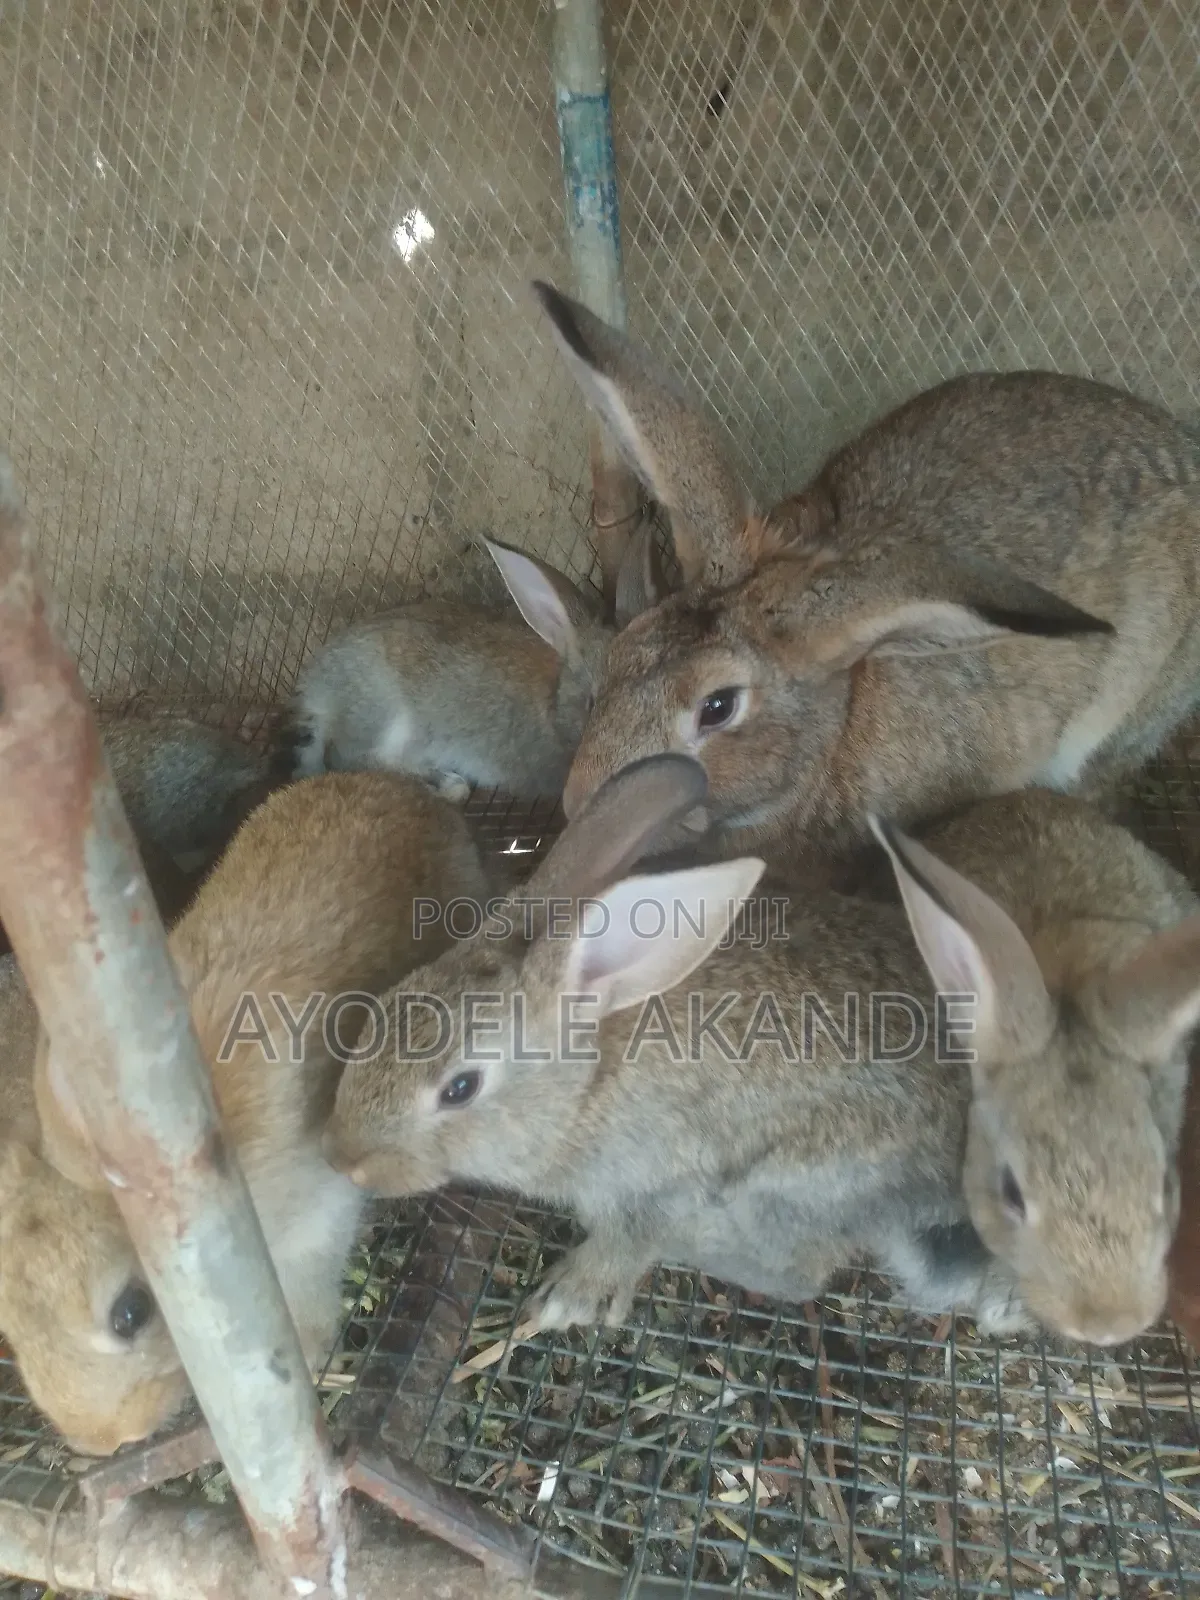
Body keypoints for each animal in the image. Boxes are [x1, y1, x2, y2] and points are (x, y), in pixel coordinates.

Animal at [1, 770, 488, 1456]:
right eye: (7, 1328)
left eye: (131, 1311)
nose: (102, 1440)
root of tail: (406, 790)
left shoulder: (318, 1213)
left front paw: (309, 1353)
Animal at [276, 531, 655, 802]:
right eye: (593, 703)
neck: (554, 700)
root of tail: (315, 693)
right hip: (386, 712)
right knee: (347, 757)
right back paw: (445, 784)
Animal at [323, 757, 1200, 1350]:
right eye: (387, 1007)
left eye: (460, 1088)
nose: (347, 1162)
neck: (585, 1084)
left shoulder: (655, 1179)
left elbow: (630, 1240)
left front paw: (567, 1300)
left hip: (787, 1184)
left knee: (799, 1273)